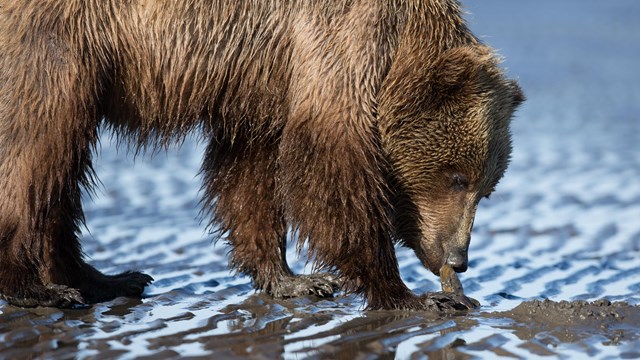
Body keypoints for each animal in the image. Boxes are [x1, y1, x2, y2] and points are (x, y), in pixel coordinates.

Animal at [0, 0, 520, 310]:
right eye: (456, 177)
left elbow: (250, 169)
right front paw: (408, 293)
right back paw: (37, 288)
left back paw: (106, 278)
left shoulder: (262, 76)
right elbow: (329, 163)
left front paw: (291, 278)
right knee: (37, 147)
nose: (458, 259)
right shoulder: (341, 41)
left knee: (61, 166)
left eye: (487, 189)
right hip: (57, 45)